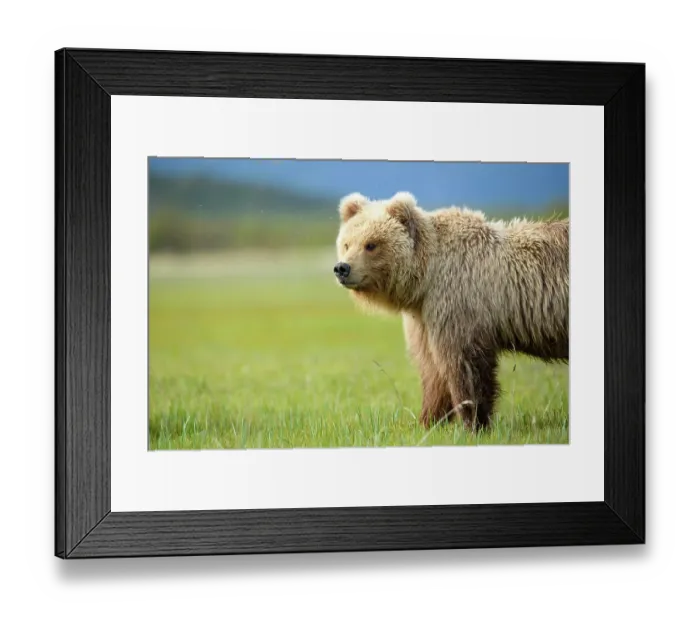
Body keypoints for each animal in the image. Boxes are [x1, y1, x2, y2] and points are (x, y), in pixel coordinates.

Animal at [333, 191, 569, 431]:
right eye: (346, 243)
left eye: (371, 244)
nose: (342, 268)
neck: (427, 276)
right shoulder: (424, 316)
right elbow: (433, 371)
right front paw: (428, 421)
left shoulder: (458, 303)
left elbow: (465, 366)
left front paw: (474, 423)